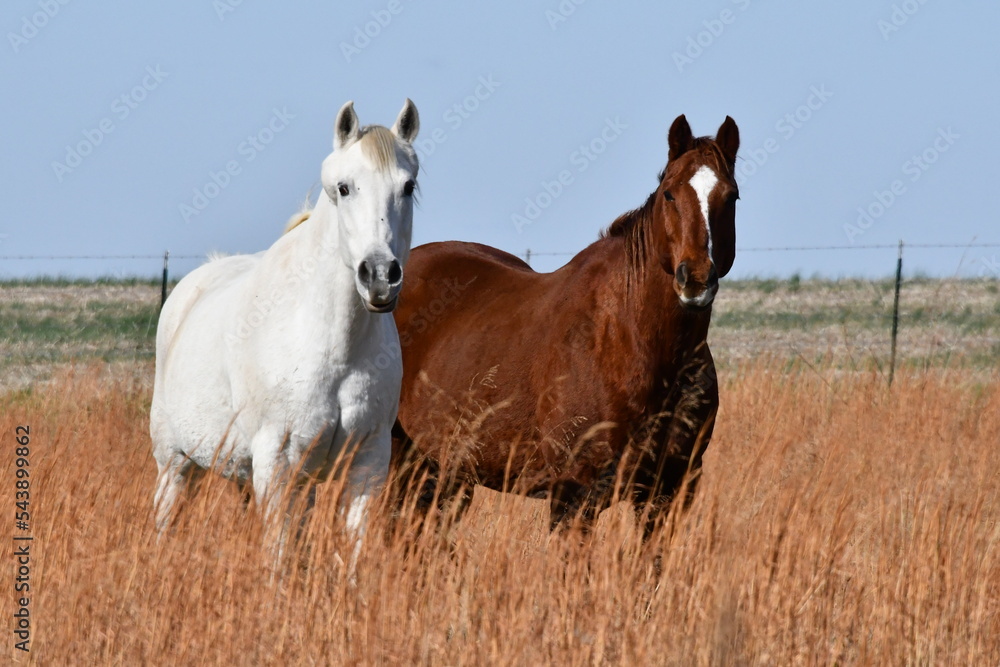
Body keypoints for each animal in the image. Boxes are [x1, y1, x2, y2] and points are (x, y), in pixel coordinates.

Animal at [150, 99, 421, 557]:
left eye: (408, 187)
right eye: (344, 188)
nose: (381, 275)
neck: (333, 349)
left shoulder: (367, 463)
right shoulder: (276, 463)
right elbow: (278, 553)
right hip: (175, 464)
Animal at [390, 114, 739, 534]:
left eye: (731, 197)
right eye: (670, 194)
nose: (697, 280)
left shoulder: (665, 497)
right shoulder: (573, 499)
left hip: (442, 473)